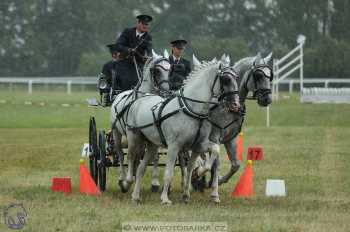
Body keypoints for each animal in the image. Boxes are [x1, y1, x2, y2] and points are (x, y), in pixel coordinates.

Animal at [108, 56, 170, 192]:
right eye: (157, 71)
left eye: (170, 69)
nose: (167, 91)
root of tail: (120, 94)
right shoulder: (132, 134)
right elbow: (130, 155)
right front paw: (127, 182)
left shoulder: (152, 135)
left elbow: (154, 157)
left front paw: (154, 182)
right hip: (116, 132)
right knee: (121, 154)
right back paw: (122, 178)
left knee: (137, 155)